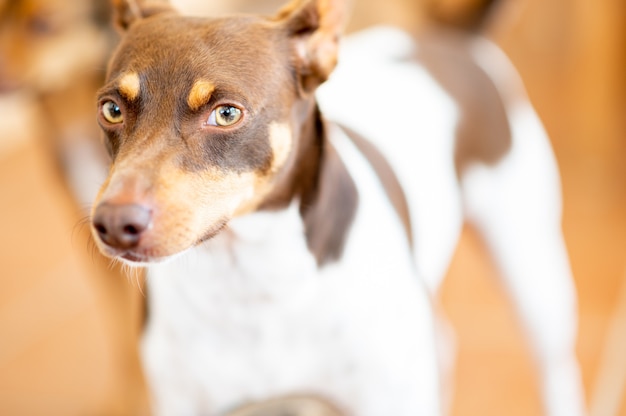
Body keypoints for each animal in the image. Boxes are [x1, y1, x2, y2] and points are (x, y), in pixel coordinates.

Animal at [1, 0, 624, 416]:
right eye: (110, 108)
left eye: (226, 113)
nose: (112, 224)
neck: (252, 280)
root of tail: (450, 37)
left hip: (535, 273)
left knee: (554, 367)